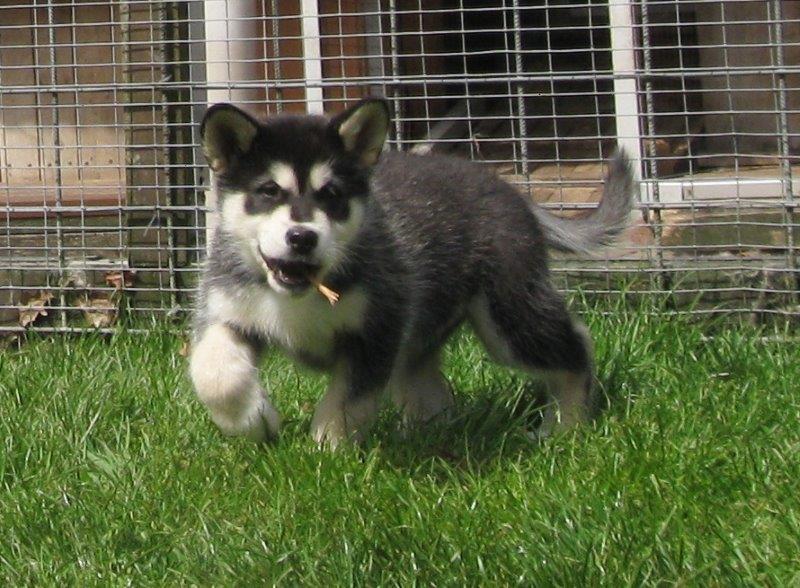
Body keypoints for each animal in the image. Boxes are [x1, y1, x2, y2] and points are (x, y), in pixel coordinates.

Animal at [189, 98, 635, 447]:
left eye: (332, 194)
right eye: (268, 191)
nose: (302, 238)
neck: (301, 296)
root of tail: (507, 188)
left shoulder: (376, 333)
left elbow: (348, 403)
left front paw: (328, 451)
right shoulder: (227, 313)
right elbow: (213, 373)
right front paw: (254, 420)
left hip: (508, 316)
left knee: (576, 344)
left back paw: (564, 424)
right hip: (422, 341)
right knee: (430, 388)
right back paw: (429, 433)